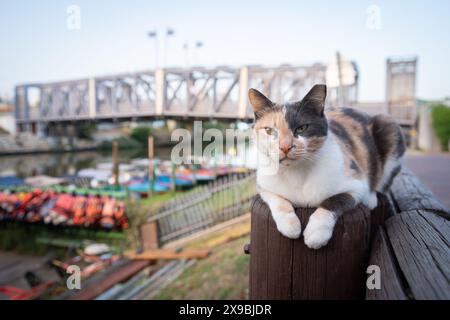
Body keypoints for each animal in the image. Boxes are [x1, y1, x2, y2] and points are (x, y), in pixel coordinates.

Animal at [248, 85, 406, 250]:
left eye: (301, 128)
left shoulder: (356, 185)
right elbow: (277, 200)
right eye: (269, 131)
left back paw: (371, 198)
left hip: (388, 126)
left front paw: (316, 233)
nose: (285, 147)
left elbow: (334, 201)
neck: (296, 173)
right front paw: (290, 225)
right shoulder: (263, 186)